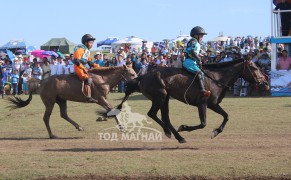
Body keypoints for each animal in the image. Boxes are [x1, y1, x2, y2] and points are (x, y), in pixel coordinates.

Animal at [6, 65, 137, 139]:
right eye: (132, 74)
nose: (137, 83)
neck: (103, 79)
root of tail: (42, 81)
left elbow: (112, 111)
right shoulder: (100, 99)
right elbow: (112, 110)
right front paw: (122, 128)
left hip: (61, 100)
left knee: (63, 114)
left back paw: (79, 127)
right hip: (50, 102)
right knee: (46, 118)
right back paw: (52, 135)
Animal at [109, 58, 270, 143]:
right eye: (254, 67)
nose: (265, 82)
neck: (216, 78)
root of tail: (143, 76)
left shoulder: (213, 104)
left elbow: (226, 116)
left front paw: (216, 131)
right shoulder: (203, 104)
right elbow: (203, 123)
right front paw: (185, 127)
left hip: (165, 98)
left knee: (164, 117)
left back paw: (176, 136)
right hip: (160, 97)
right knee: (152, 114)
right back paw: (172, 133)